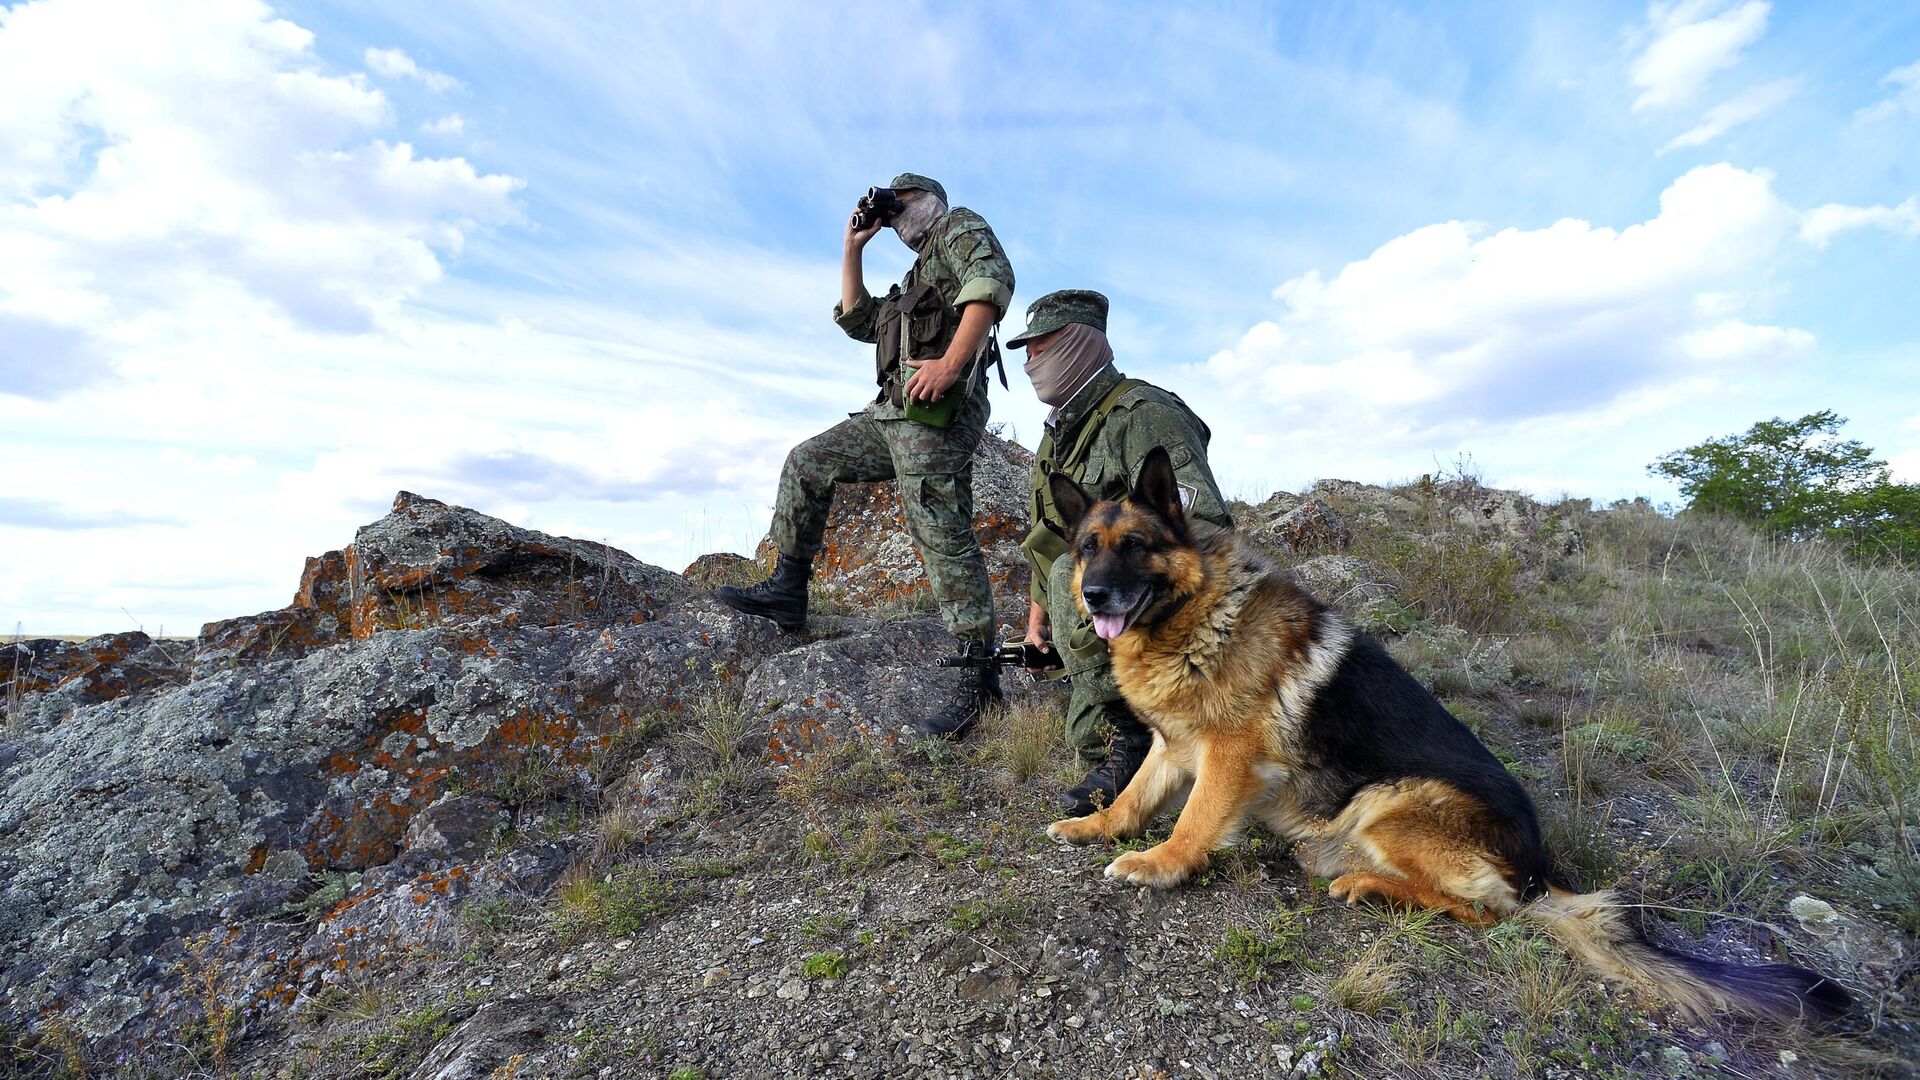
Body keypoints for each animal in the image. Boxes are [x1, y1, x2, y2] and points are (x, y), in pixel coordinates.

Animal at [1044, 445, 1850, 1014]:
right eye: (1087, 547)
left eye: (1136, 545)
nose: (1095, 595)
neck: (1192, 613)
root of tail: (1540, 869)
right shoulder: (1172, 746)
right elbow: (1134, 798)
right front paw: (1094, 828)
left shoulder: (1229, 758)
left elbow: (1193, 822)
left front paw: (1161, 865)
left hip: (1393, 802)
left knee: (1483, 912)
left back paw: (1368, 883)